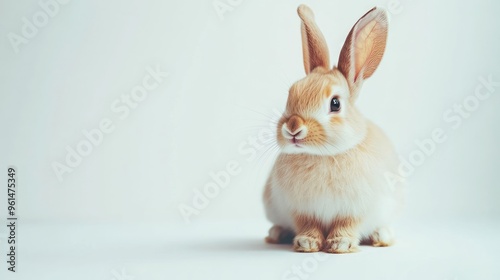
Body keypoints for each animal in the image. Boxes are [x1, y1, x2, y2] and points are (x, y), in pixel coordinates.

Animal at [264, 3, 404, 254]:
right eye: (291, 94)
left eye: (335, 103)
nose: (293, 128)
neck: (323, 155)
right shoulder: (302, 210)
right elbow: (308, 225)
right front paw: (306, 243)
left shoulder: (355, 210)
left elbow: (347, 224)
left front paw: (341, 244)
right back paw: (276, 234)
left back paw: (382, 236)